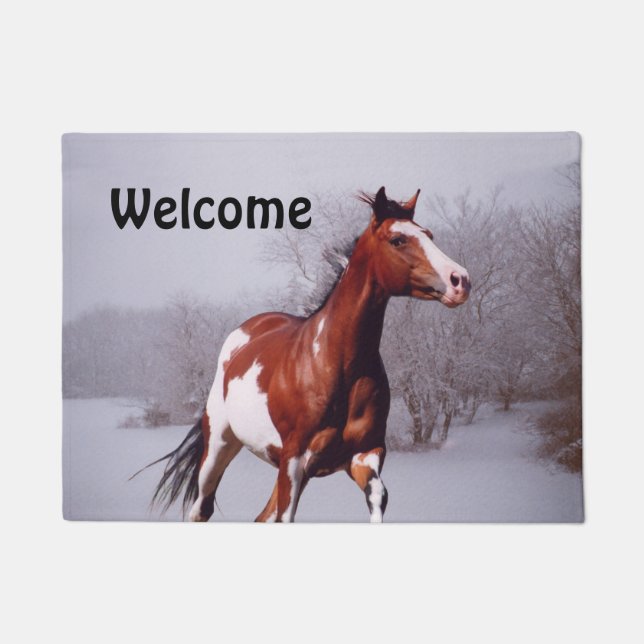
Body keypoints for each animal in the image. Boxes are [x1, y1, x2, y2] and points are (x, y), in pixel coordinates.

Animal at [141, 187, 470, 522]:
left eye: (429, 235)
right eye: (398, 240)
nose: (460, 280)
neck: (335, 366)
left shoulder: (364, 454)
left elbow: (378, 496)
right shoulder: (295, 459)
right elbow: (287, 516)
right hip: (219, 447)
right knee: (201, 509)